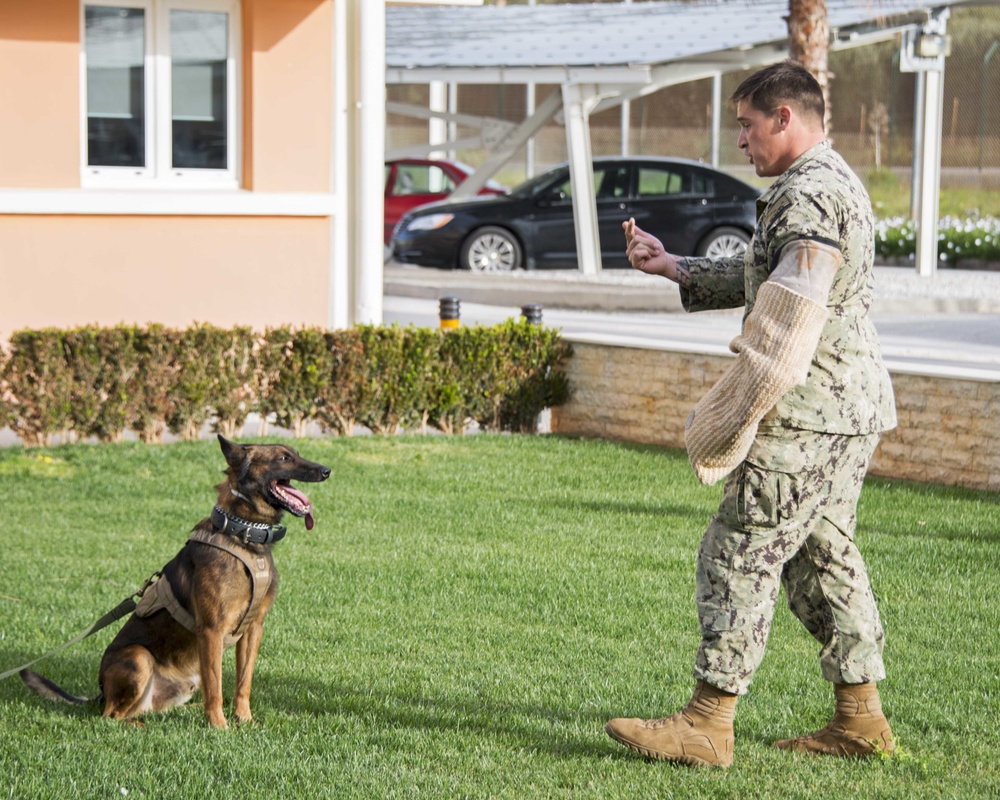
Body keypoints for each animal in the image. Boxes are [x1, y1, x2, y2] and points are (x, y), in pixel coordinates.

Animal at [20, 434, 332, 728]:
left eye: (297, 454)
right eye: (283, 458)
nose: (327, 470)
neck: (243, 535)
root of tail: (101, 693)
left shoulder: (253, 629)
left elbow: (243, 683)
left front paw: (243, 719)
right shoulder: (211, 630)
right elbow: (216, 686)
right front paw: (219, 726)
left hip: (185, 682)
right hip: (139, 658)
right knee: (111, 715)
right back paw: (137, 724)